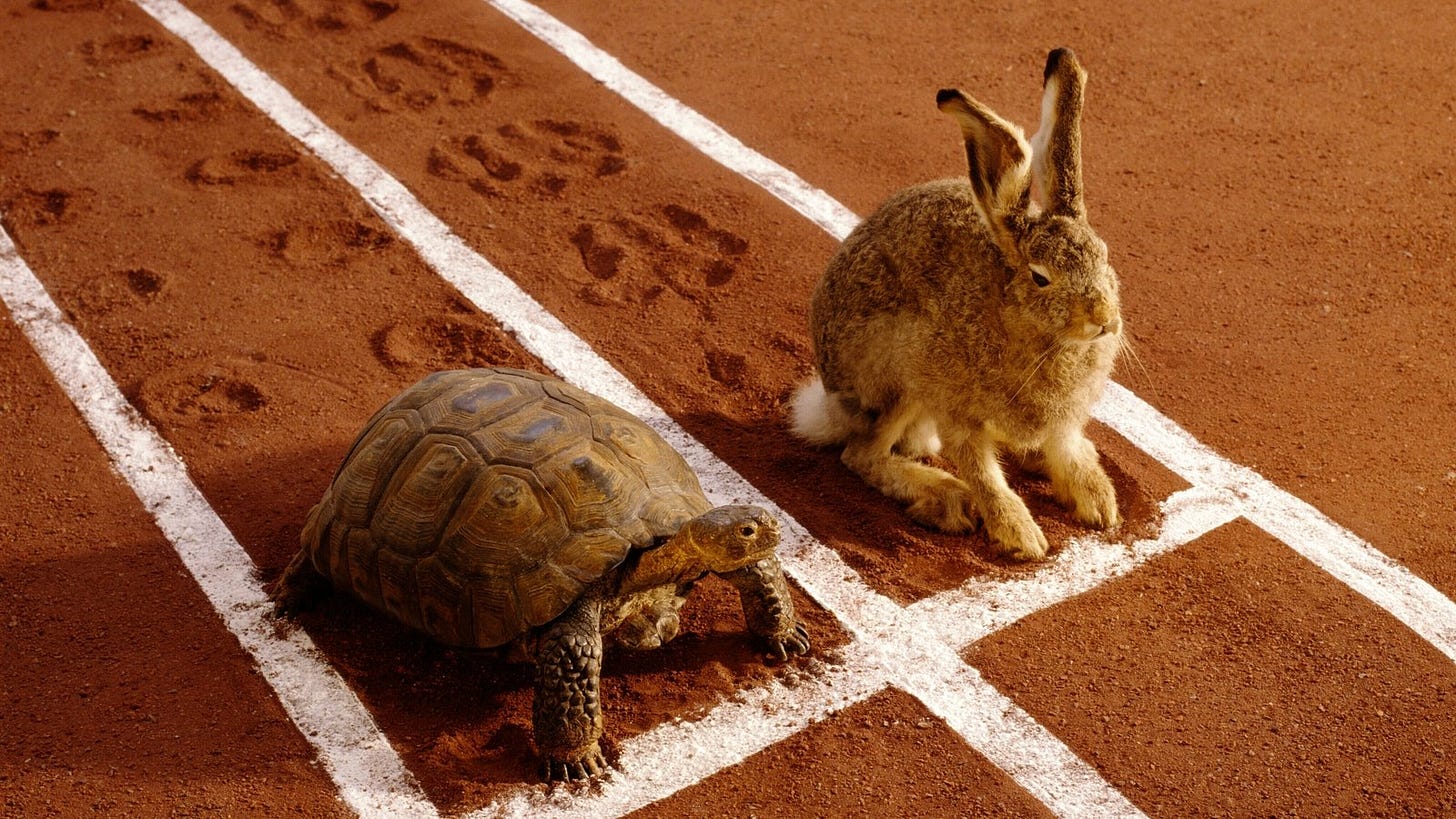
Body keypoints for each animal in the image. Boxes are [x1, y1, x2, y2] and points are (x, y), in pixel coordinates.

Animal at [790, 48, 1123, 561]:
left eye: (1104, 256)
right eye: (1041, 277)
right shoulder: (955, 407)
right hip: (897, 375)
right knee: (863, 454)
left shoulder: (1064, 420)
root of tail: (830, 403)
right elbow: (984, 474)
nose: (1104, 320)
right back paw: (945, 497)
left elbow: (1066, 448)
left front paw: (1100, 503)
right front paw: (1021, 536)